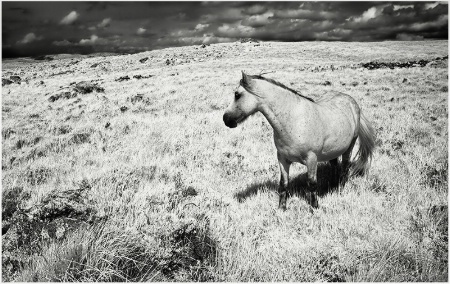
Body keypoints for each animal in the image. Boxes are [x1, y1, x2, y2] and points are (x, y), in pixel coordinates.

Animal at [223, 71, 374, 209]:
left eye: (237, 94)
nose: (226, 119)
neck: (293, 120)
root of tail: (352, 102)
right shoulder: (282, 159)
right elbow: (283, 184)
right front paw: (282, 208)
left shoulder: (311, 159)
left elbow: (312, 184)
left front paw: (314, 207)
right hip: (332, 151)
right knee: (335, 166)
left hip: (349, 147)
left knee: (345, 167)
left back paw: (340, 188)